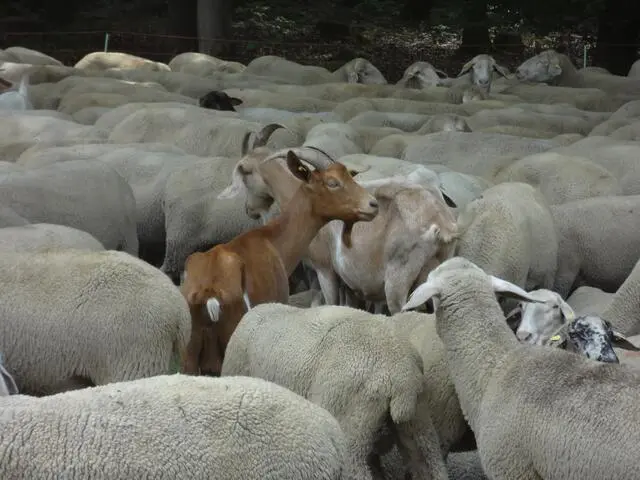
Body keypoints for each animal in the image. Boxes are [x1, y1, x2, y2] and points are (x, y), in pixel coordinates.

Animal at [181, 138, 379, 376]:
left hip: (190, 357)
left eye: (350, 176)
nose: (373, 204)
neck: (272, 241)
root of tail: (209, 293)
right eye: (332, 183)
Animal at [222, 141, 460, 315]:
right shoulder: (351, 283)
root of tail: (441, 223)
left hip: (398, 279)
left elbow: (329, 301)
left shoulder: (325, 270)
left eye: (246, 173)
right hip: (436, 274)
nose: (249, 210)